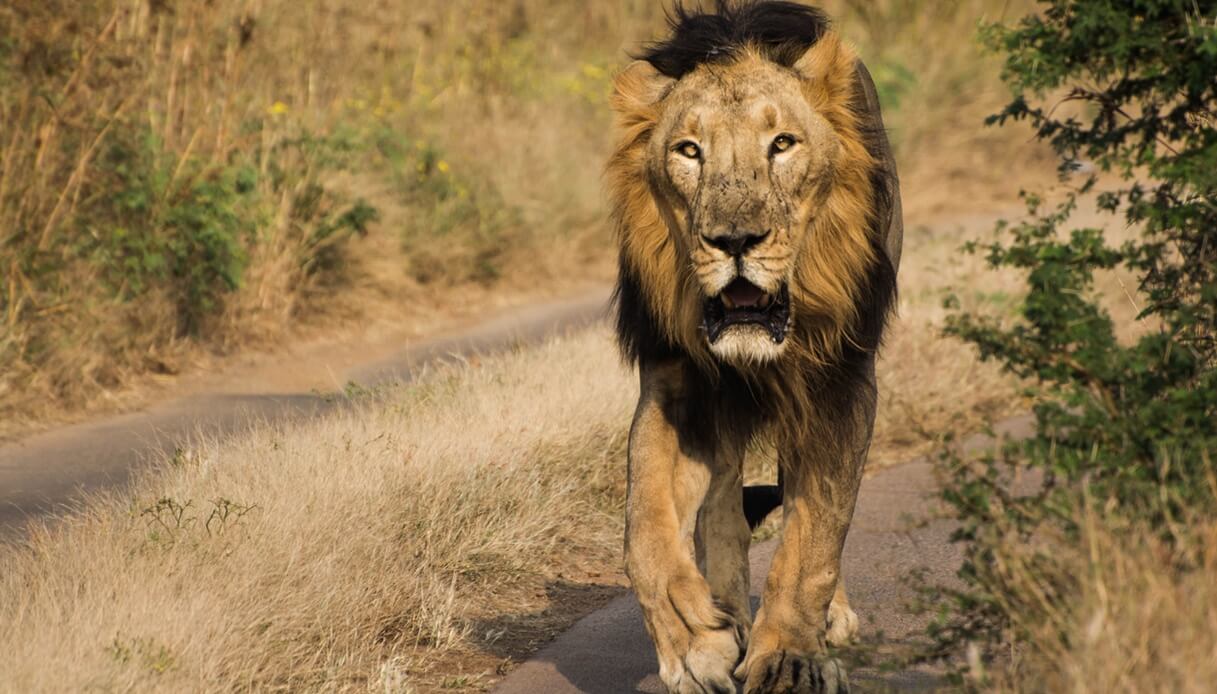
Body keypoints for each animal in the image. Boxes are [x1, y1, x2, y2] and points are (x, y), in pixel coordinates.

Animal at [607, 2, 902, 692]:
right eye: (689, 151)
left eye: (783, 144)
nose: (735, 240)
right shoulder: (676, 380)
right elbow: (643, 530)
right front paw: (695, 644)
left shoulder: (840, 381)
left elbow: (814, 534)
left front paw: (791, 655)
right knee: (720, 508)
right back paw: (726, 604)